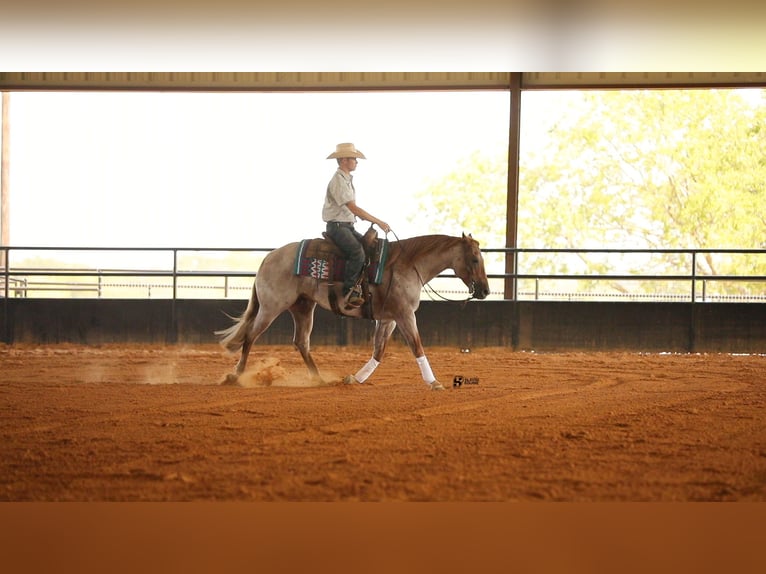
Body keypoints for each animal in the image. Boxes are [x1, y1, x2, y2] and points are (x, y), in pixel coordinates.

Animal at [216, 234, 492, 392]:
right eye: (475, 260)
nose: (485, 290)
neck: (408, 265)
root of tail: (268, 258)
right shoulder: (404, 315)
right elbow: (417, 346)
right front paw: (434, 382)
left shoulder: (388, 319)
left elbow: (379, 351)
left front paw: (354, 379)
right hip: (272, 306)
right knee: (250, 336)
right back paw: (235, 376)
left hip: (303, 306)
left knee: (301, 342)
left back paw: (318, 379)